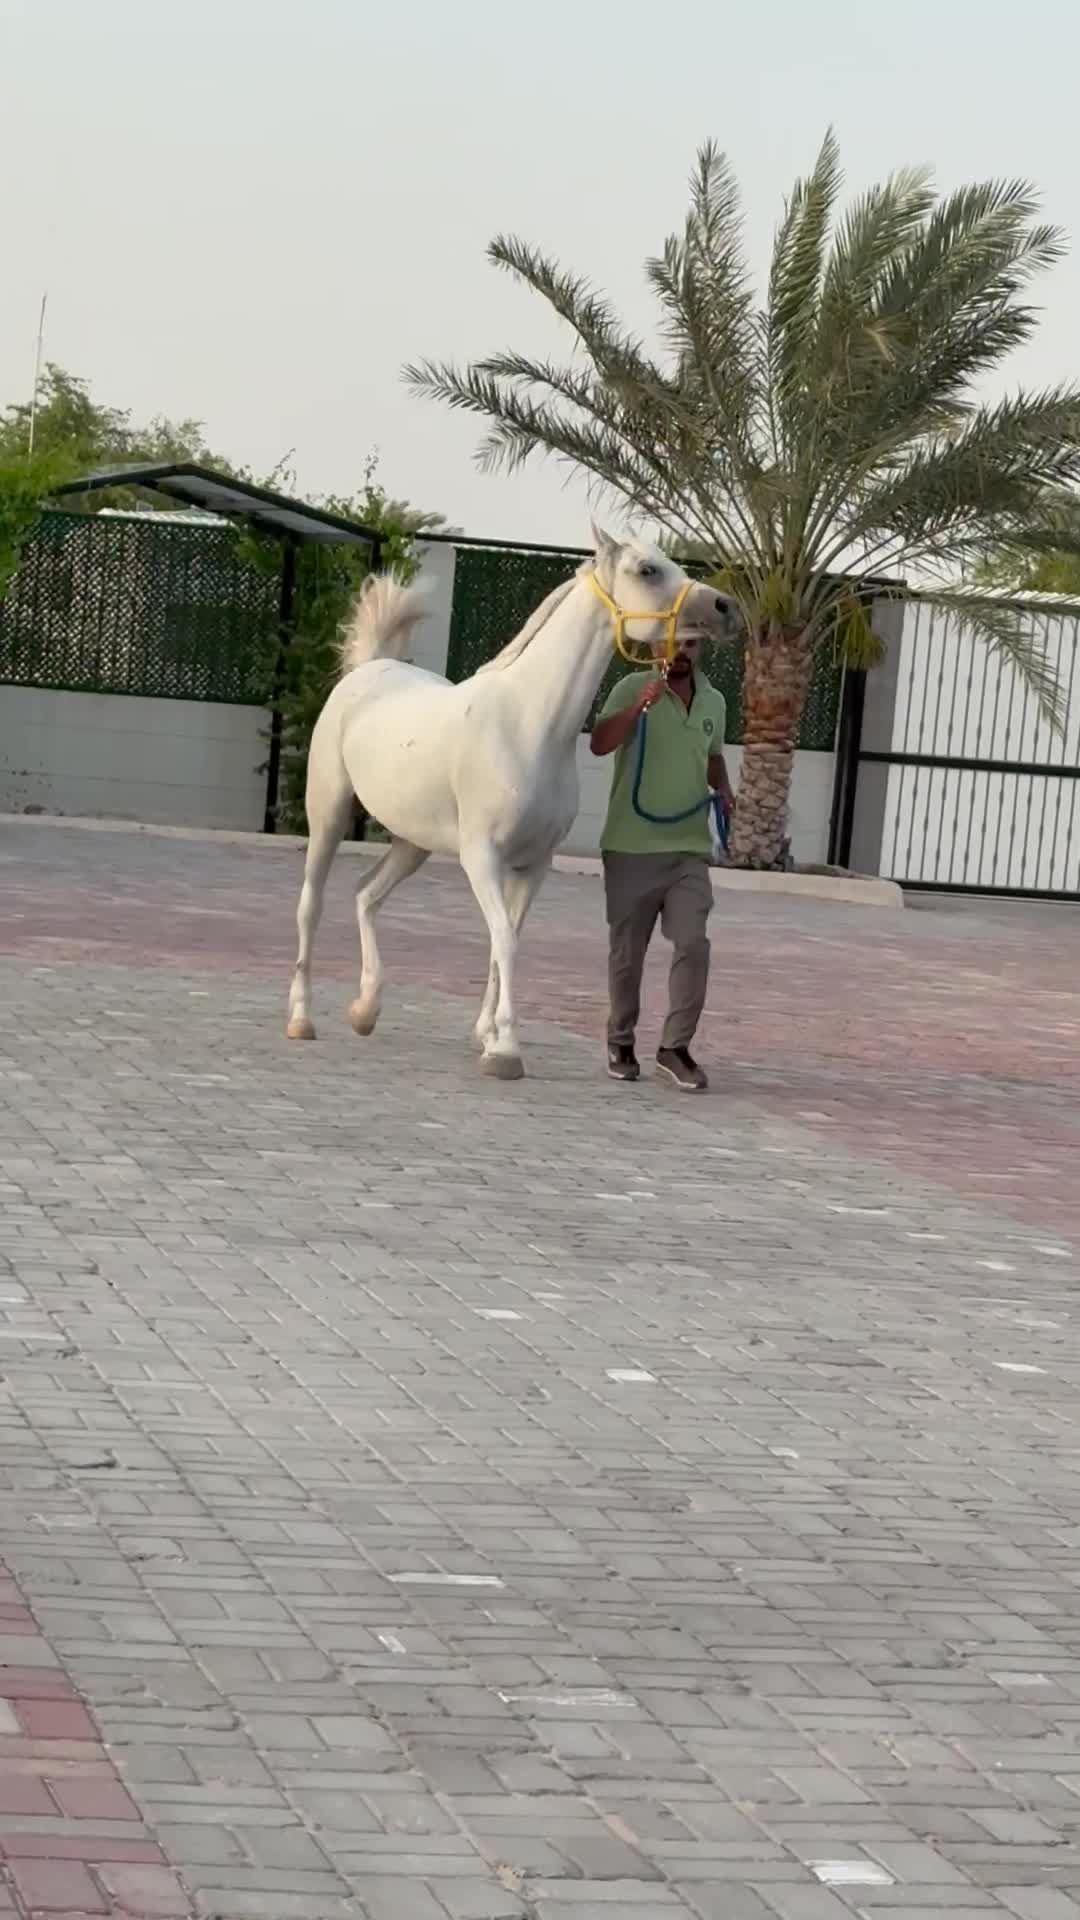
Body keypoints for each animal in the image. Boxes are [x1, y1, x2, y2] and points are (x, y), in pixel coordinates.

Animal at [286, 525, 736, 1080]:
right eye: (647, 570)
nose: (725, 607)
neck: (529, 726)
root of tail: (368, 670)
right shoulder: (483, 858)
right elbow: (504, 938)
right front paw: (505, 1050)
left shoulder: (533, 864)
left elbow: (508, 939)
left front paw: (488, 1035)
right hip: (327, 813)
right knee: (312, 905)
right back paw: (301, 1018)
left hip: (413, 842)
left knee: (366, 897)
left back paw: (365, 1010)